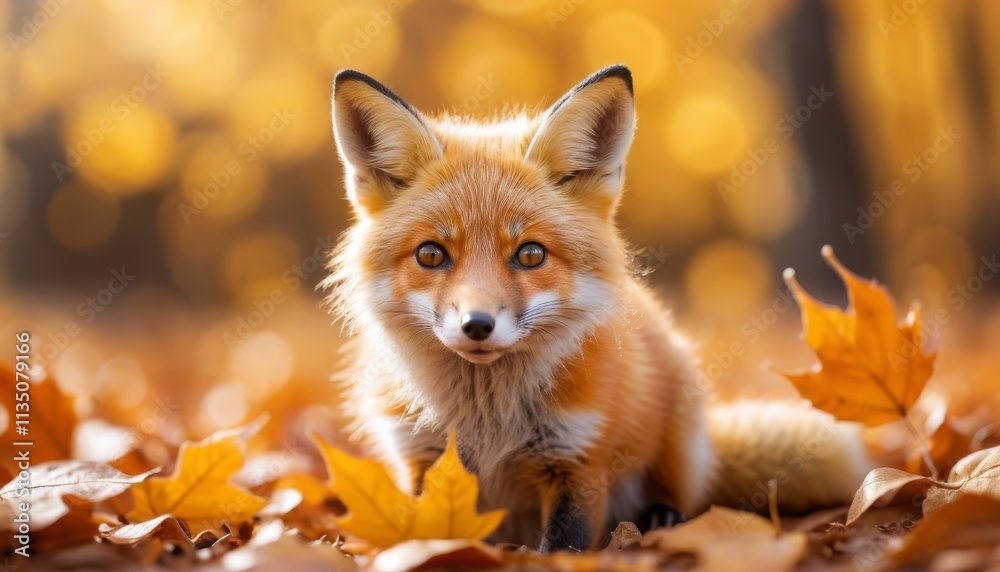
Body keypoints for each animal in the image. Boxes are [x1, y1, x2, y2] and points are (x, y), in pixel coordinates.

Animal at [323, 65, 873, 552]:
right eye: (431, 255)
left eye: (531, 254)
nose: (476, 325)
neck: (489, 419)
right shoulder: (423, 460)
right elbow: (425, 539)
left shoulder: (579, 459)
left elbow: (562, 550)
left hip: (681, 431)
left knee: (683, 494)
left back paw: (663, 518)